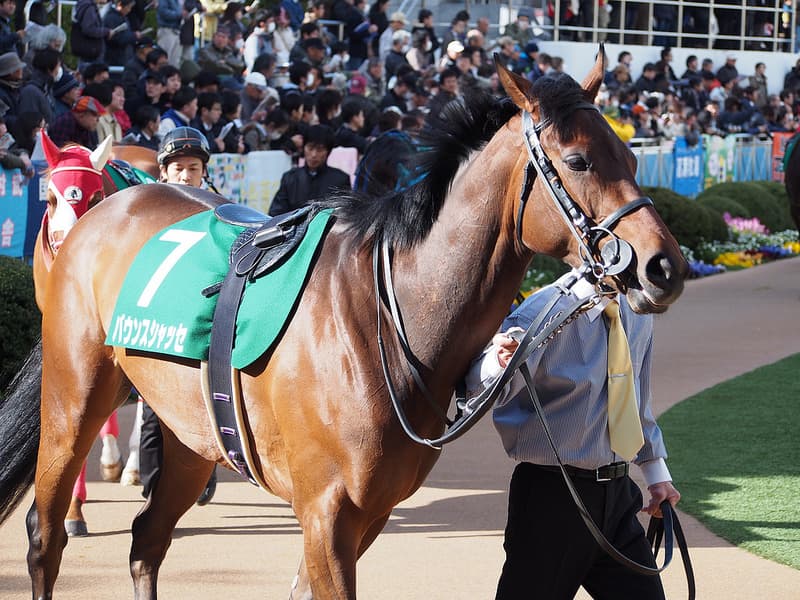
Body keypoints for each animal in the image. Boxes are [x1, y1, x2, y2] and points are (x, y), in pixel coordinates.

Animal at [0, 53, 687, 599]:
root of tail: (109, 204)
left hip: (191, 431)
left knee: (148, 540)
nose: (664, 266)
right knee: (44, 534)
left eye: (630, 154)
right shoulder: (326, 512)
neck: (388, 315)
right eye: (578, 160)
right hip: (73, 398)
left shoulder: (368, 513)